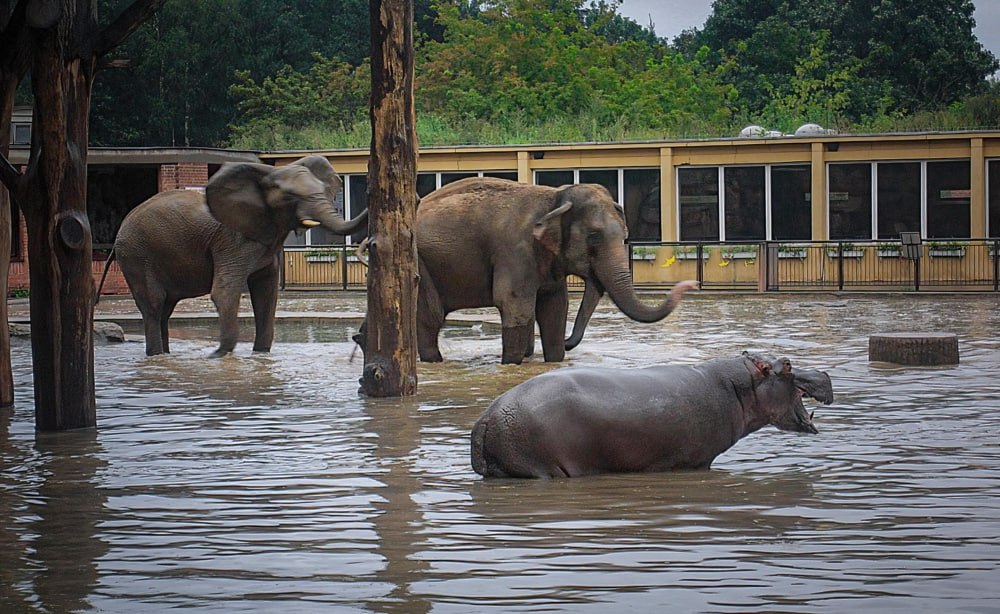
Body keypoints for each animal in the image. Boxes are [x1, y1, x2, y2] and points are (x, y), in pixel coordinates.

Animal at [100, 155, 368, 356]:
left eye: (324, 190)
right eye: (290, 197)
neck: (267, 174)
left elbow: (267, 295)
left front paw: (259, 355)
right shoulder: (232, 240)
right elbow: (224, 292)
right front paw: (219, 355)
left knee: (165, 309)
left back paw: (164, 355)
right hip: (136, 256)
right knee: (154, 306)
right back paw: (157, 355)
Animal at [414, 177, 696, 366]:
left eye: (625, 237)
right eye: (593, 237)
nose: (689, 284)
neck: (556, 197)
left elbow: (555, 311)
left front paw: (554, 360)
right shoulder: (515, 252)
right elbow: (515, 307)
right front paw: (511, 365)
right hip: (419, 264)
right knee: (430, 317)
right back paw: (434, 361)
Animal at [472, 352, 832, 482]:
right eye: (787, 364)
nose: (825, 372)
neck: (738, 386)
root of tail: (486, 418)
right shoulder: (696, 461)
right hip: (541, 468)